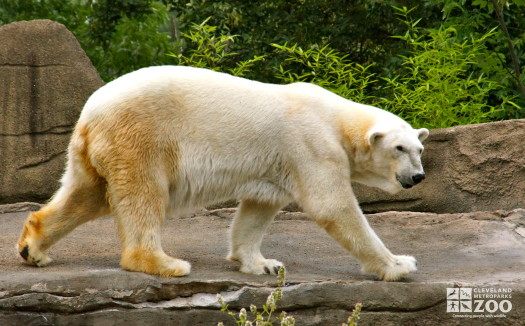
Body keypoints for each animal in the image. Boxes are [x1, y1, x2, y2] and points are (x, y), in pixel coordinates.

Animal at [17, 65, 426, 280]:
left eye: (420, 149)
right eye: (399, 148)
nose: (418, 177)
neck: (337, 120)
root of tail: (90, 112)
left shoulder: (277, 165)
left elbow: (257, 209)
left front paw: (263, 263)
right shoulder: (312, 145)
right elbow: (333, 206)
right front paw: (399, 264)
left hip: (96, 151)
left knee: (86, 195)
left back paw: (32, 249)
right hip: (139, 137)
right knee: (143, 195)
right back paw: (166, 263)